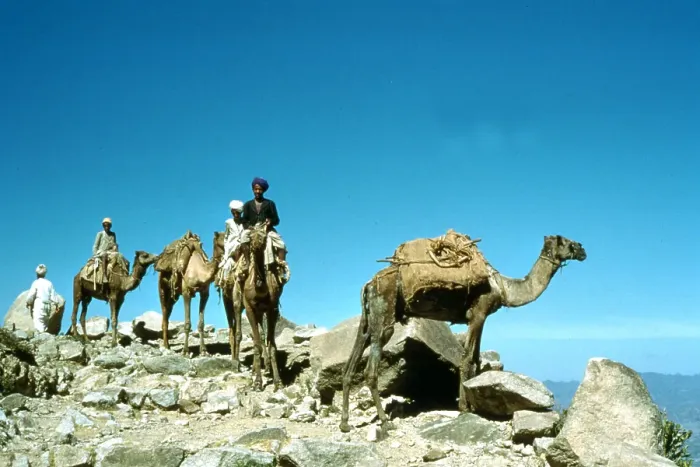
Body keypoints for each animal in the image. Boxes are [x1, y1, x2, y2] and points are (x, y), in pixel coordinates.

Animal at [339, 234, 587, 433]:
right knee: (371, 368)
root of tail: (369, 283)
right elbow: (467, 358)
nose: (583, 250)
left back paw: (344, 423)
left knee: (354, 355)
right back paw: (384, 422)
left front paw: (474, 404)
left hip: (368, 317)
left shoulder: (480, 318)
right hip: (384, 311)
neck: (504, 288)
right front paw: (465, 407)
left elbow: (476, 359)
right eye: (566, 241)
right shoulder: (478, 313)